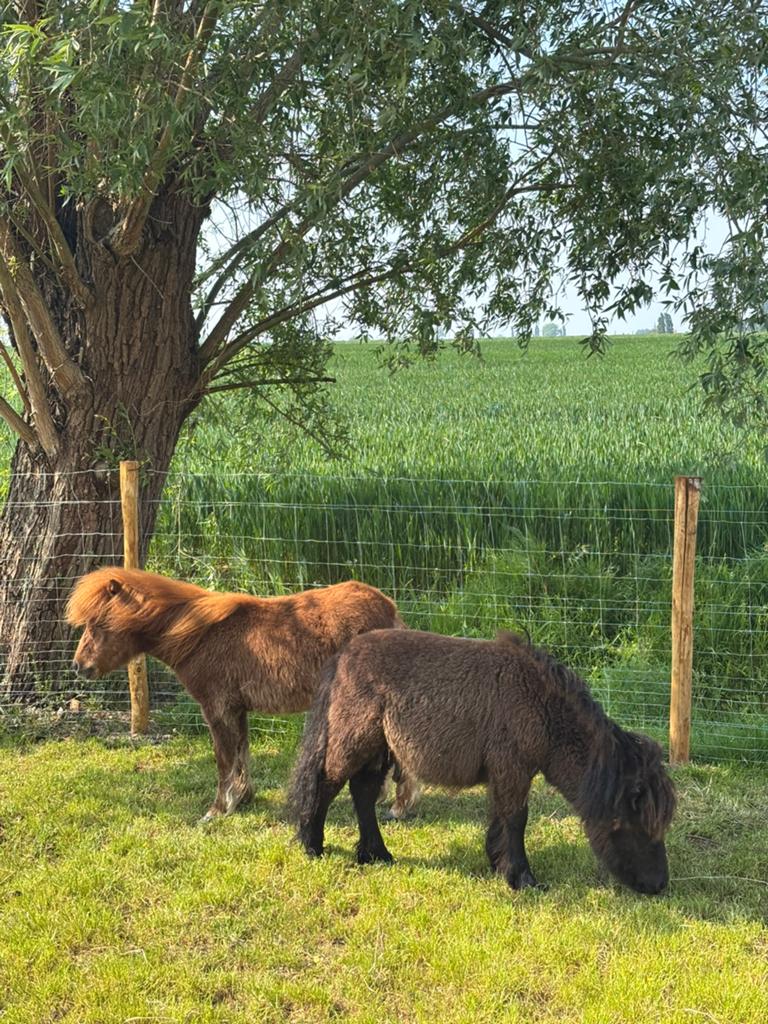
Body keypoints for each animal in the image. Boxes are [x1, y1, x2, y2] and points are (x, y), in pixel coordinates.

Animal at [67, 567, 417, 822]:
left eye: (99, 625)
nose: (79, 666)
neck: (200, 635)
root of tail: (388, 608)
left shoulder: (217, 708)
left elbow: (224, 759)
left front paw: (217, 810)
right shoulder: (237, 709)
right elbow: (241, 754)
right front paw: (242, 799)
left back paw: (398, 807)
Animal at [291, 629, 676, 894]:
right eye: (637, 825)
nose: (658, 884)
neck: (540, 704)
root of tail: (343, 657)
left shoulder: (504, 772)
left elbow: (500, 818)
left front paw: (498, 864)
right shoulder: (512, 768)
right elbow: (517, 819)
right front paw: (522, 877)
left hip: (380, 750)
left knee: (363, 793)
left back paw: (376, 854)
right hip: (354, 742)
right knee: (327, 784)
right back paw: (312, 845)